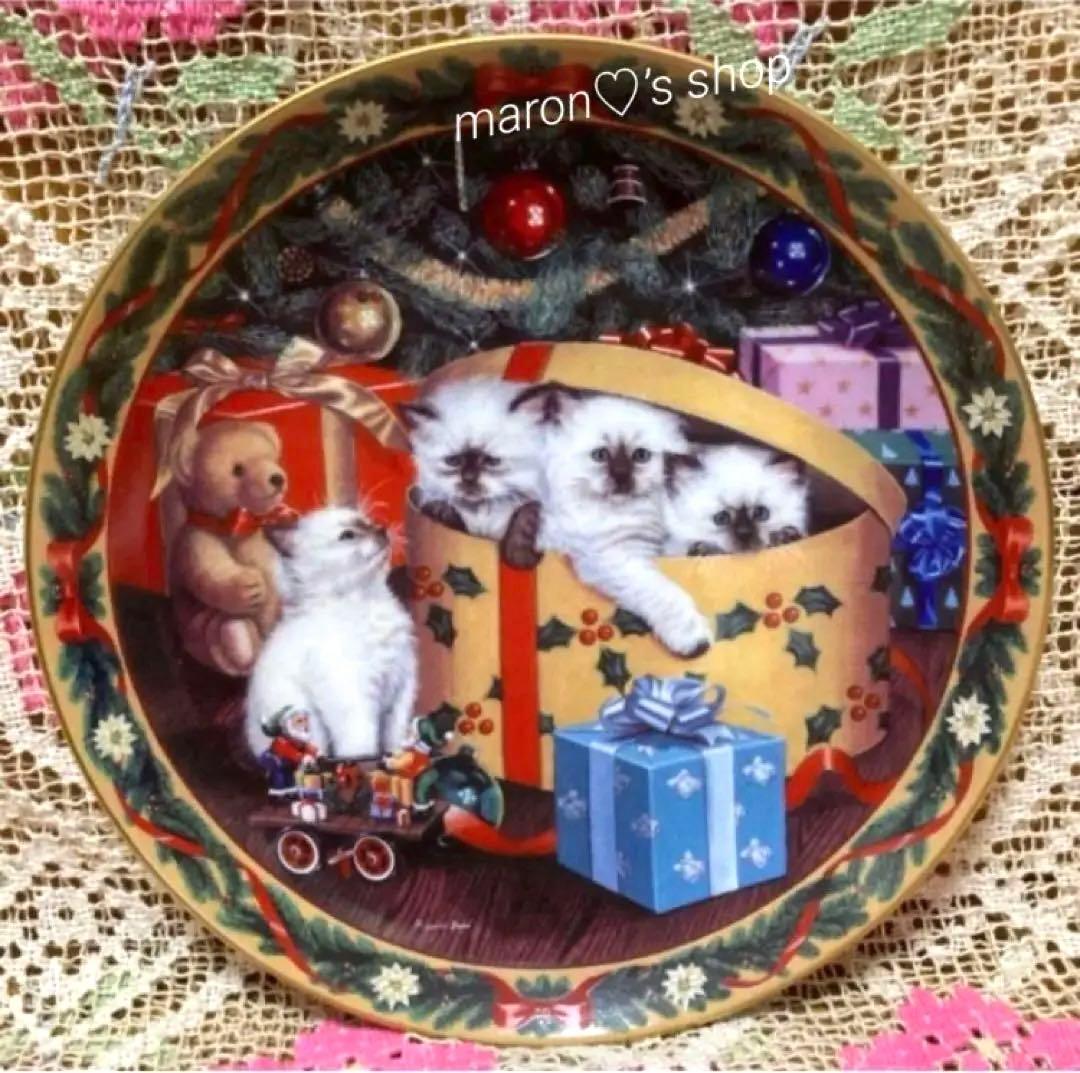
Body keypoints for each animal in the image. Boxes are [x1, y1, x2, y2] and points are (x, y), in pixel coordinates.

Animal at [244, 505, 418, 761]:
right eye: (348, 535)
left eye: (368, 522)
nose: (381, 528)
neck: (365, 601)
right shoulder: (354, 698)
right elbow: (361, 745)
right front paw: (364, 763)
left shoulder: (400, 690)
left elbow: (393, 739)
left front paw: (399, 758)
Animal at [401, 377, 544, 567]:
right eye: (453, 461)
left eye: (492, 461)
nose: (468, 478)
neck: (482, 510)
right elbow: (445, 512)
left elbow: (527, 512)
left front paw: (519, 555)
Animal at [512, 384, 713, 659]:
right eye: (600, 455)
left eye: (641, 456)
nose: (620, 476)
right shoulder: (616, 556)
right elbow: (664, 594)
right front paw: (693, 639)